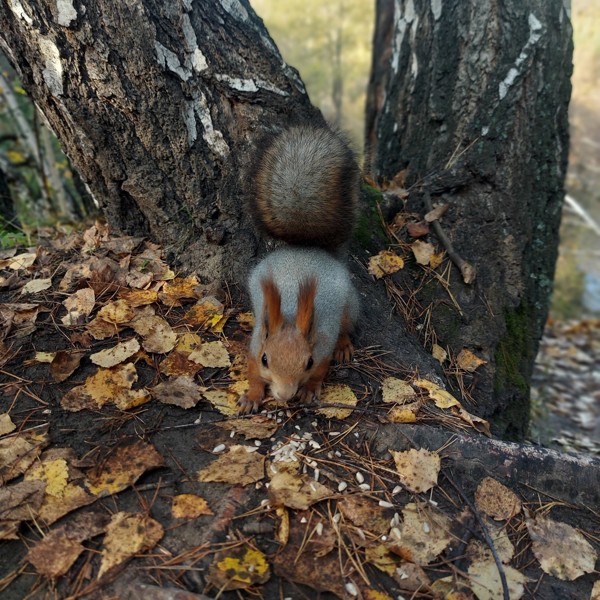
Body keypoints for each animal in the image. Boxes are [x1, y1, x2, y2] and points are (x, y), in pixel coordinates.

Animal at [238, 126, 360, 412]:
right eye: (265, 359)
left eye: (308, 362)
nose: (284, 395)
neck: (292, 312)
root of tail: (307, 248)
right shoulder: (257, 341)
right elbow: (251, 371)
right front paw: (252, 396)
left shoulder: (322, 345)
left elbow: (321, 370)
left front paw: (309, 389)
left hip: (349, 303)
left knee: (346, 324)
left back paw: (344, 345)